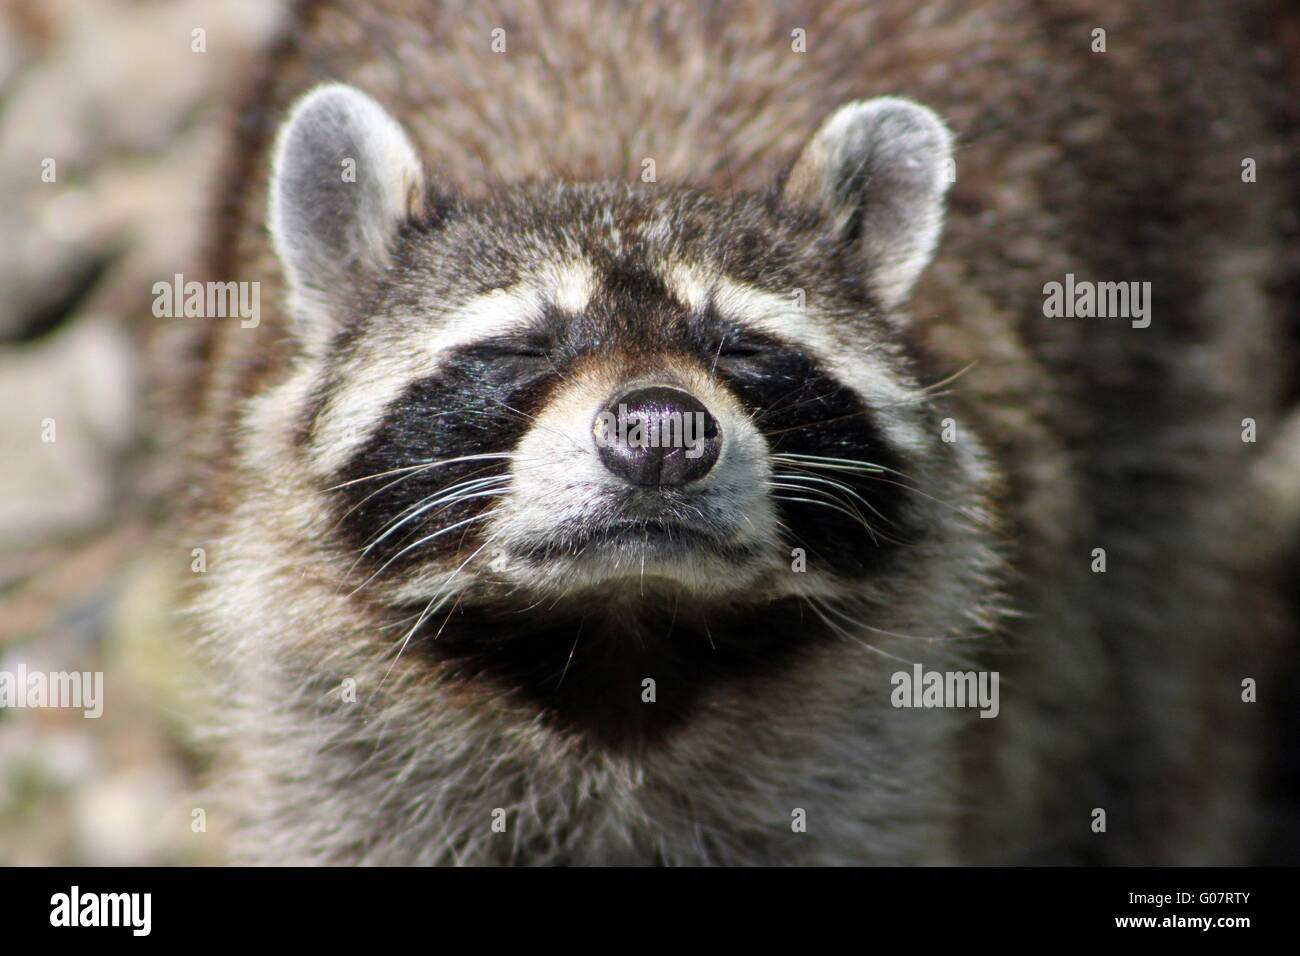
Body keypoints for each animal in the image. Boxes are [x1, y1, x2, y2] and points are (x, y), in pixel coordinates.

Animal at [167, 0, 1294, 868]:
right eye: (527, 347)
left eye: (744, 348)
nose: (660, 431)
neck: (621, 645)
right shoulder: (334, 745)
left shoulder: (865, 766)